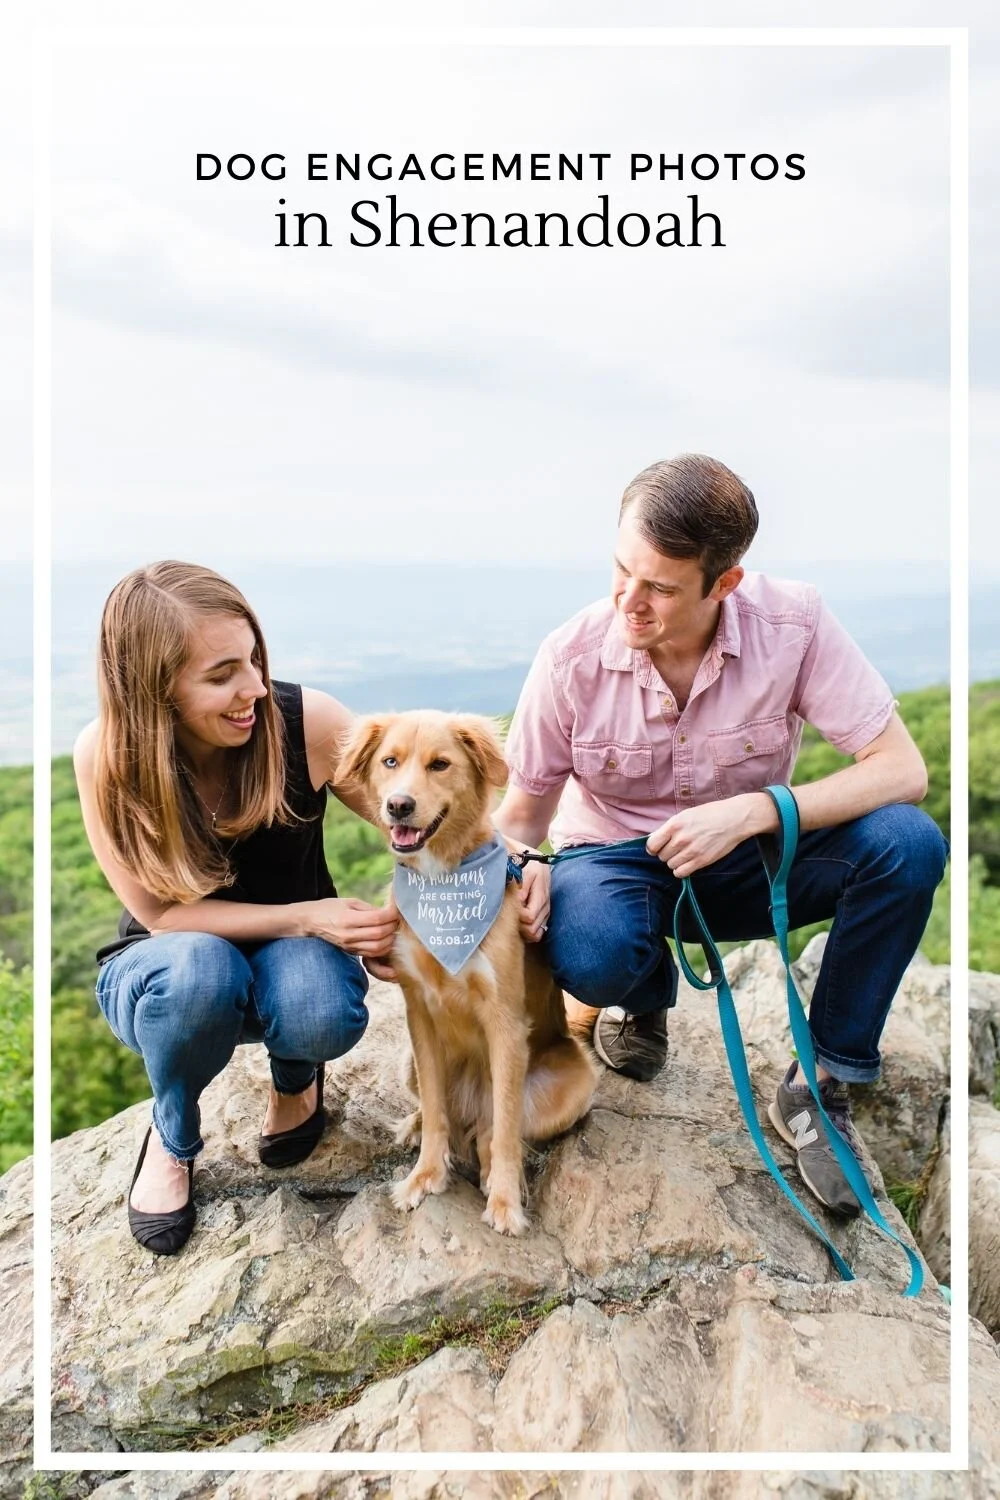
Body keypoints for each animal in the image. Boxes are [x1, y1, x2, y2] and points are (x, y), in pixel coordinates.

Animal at [340, 708, 599, 1236]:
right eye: (390, 761)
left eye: (440, 764)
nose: (399, 806)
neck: (444, 883)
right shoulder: (418, 1013)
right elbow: (437, 1112)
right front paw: (425, 1175)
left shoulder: (504, 1020)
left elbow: (504, 1129)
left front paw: (504, 1202)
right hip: (409, 1063)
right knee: (443, 1112)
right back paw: (415, 1127)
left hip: (573, 1084)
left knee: (489, 1129)